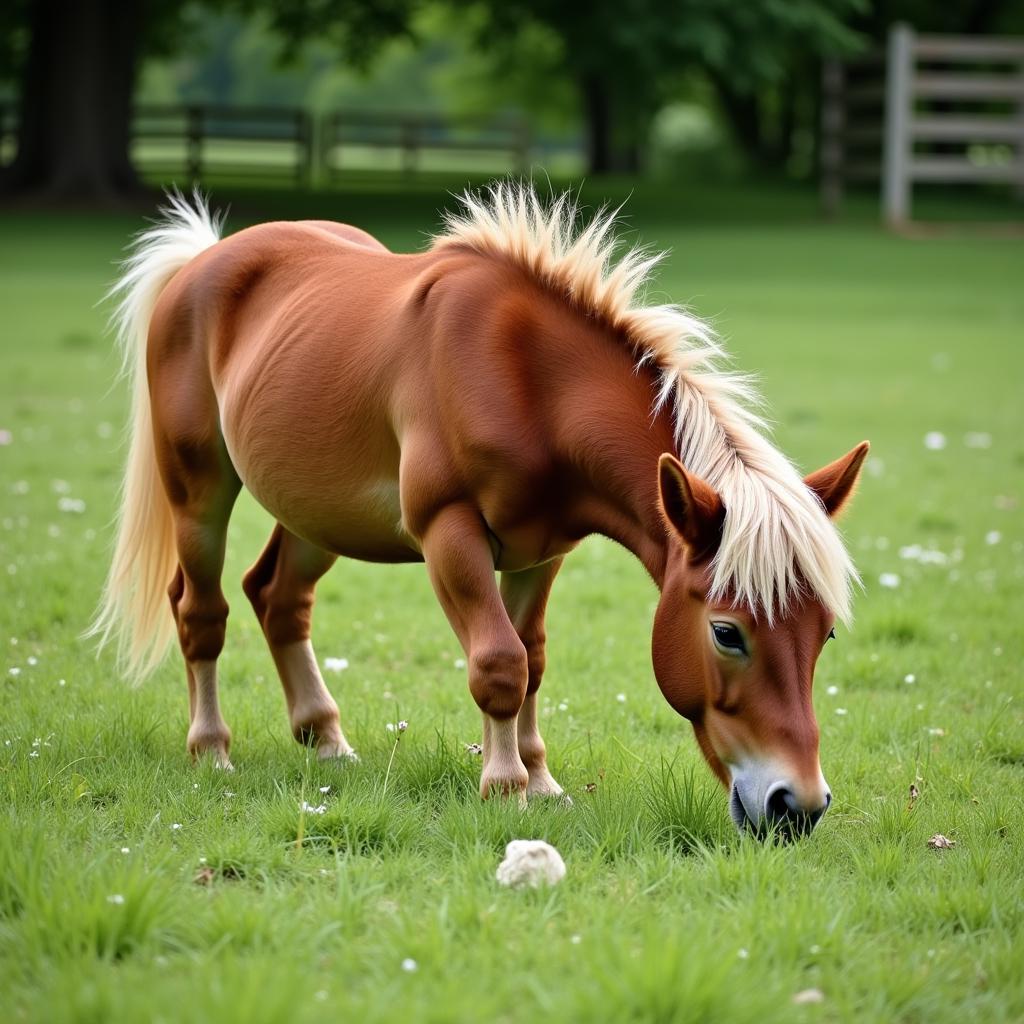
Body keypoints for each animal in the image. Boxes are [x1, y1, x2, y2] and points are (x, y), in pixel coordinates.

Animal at [92, 186, 868, 839]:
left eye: (825, 633)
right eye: (727, 633)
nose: (798, 805)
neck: (530, 380)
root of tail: (204, 257)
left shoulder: (542, 551)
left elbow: (534, 660)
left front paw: (542, 780)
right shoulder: (450, 533)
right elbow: (499, 662)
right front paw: (504, 786)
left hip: (316, 514)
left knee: (278, 597)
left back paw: (328, 740)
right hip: (199, 493)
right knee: (202, 612)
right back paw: (211, 749)